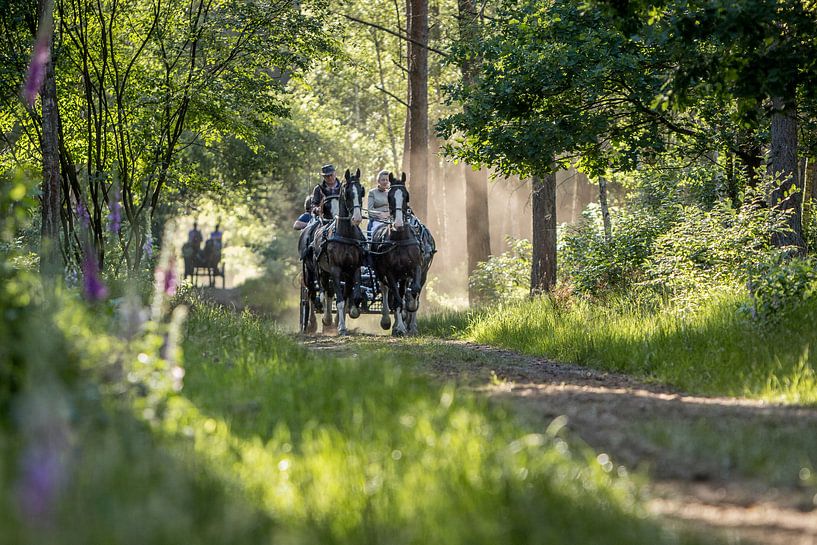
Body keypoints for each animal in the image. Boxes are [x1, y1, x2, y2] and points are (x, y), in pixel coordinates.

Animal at [306, 168, 364, 334]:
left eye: (361, 191)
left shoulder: (354, 268)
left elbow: (351, 297)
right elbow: (339, 300)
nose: (357, 218)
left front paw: (351, 313)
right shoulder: (335, 270)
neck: (345, 236)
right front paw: (341, 327)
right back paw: (324, 319)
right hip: (320, 271)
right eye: (347, 192)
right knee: (323, 292)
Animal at [366, 172, 424, 334]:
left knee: (402, 290)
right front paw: (400, 328)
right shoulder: (390, 272)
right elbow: (396, 298)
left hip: (402, 275)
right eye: (390, 196)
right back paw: (387, 321)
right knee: (386, 290)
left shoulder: (415, 266)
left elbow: (414, 290)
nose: (398, 224)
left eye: (406, 196)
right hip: (380, 272)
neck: (399, 239)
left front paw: (410, 306)